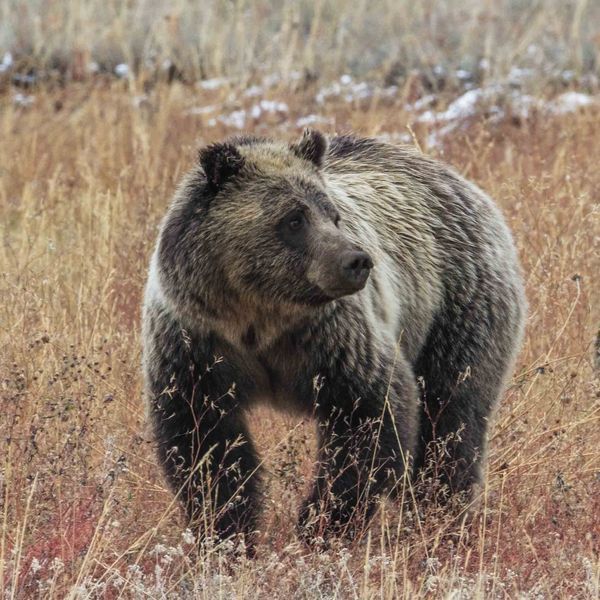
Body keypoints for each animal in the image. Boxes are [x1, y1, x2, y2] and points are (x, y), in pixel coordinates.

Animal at [141, 131, 524, 548]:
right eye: (294, 219)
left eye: (333, 215)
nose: (357, 261)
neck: (259, 317)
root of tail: (463, 182)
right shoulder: (197, 343)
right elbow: (205, 441)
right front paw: (226, 528)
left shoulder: (334, 341)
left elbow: (371, 416)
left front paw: (321, 523)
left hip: (456, 307)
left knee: (452, 416)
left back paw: (441, 514)